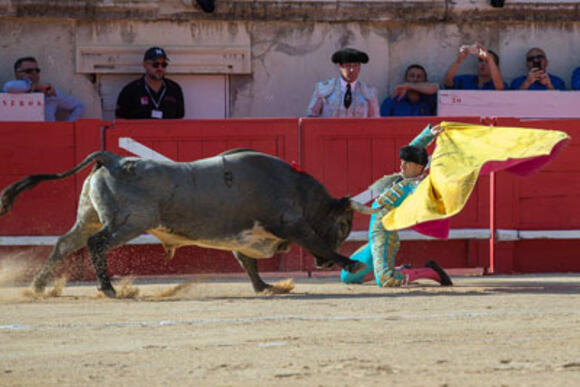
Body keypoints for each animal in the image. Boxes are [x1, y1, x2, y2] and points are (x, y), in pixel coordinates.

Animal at [0, 149, 376, 298]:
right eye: (344, 225)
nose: (322, 266)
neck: (296, 186)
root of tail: (114, 158)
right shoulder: (291, 224)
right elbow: (315, 240)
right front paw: (353, 263)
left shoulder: (243, 238)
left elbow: (248, 264)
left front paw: (266, 287)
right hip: (128, 224)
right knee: (96, 244)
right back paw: (109, 289)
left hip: (88, 219)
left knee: (65, 243)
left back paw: (38, 286)